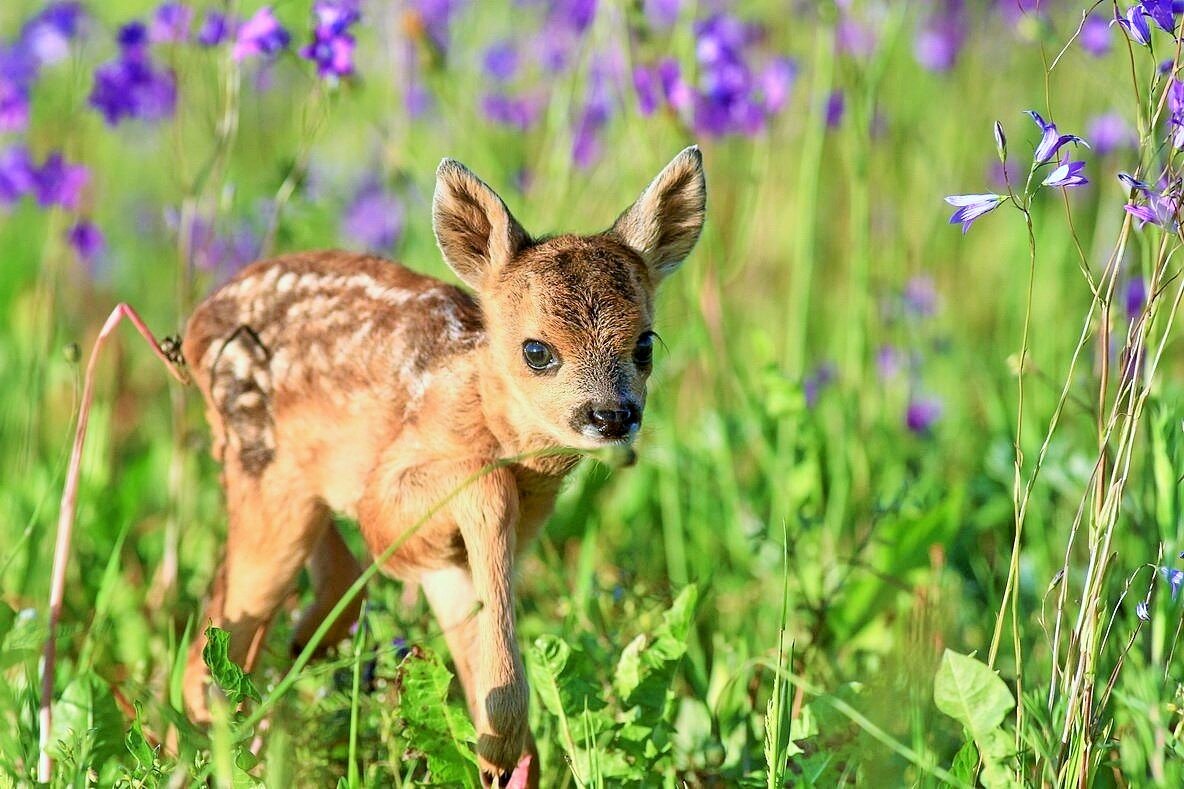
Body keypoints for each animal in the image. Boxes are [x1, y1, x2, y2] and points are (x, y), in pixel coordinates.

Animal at [179, 145, 705, 781]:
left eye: (645, 344)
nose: (613, 415)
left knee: (321, 585)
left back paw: (308, 654)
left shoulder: (460, 559)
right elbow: (486, 490)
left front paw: (500, 749)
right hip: (265, 478)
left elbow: (483, 668)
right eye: (537, 350)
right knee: (203, 665)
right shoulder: (386, 508)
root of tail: (194, 325)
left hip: (294, 489)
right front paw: (499, 739)